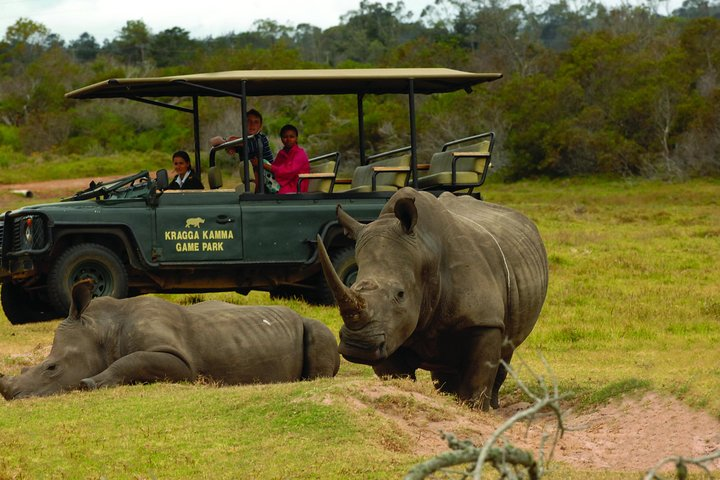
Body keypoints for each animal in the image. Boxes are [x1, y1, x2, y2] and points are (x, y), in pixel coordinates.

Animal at [0, 281, 339, 400]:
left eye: (52, 368)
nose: (11, 395)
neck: (101, 330)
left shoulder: (181, 362)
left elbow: (133, 360)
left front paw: (90, 383)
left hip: (312, 325)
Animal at [318, 187, 548, 410]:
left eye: (400, 294)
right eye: (352, 285)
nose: (358, 345)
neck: (425, 251)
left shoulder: (485, 321)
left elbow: (477, 382)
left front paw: (476, 411)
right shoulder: (390, 332)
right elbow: (396, 377)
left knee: (506, 350)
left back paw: (494, 407)